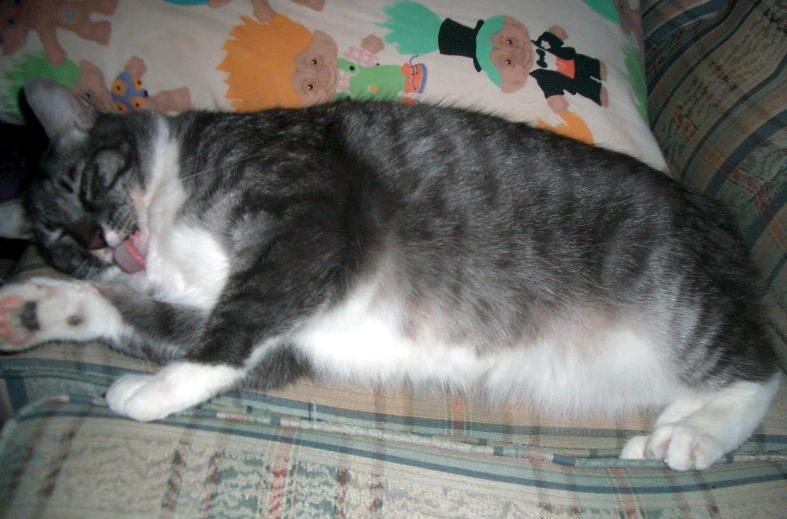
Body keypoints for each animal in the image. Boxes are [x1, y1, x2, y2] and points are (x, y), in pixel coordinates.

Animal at [0, 78, 780, 472]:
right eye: (55, 239)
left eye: (82, 183)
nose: (95, 240)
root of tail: (718, 217)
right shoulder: (279, 341)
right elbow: (146, 318)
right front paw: (34, 309)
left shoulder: (311, 220)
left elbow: (227, 331)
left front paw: (147, 391)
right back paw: (672, 425)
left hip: (681, 299)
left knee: (761, 370)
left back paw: (690, 439)